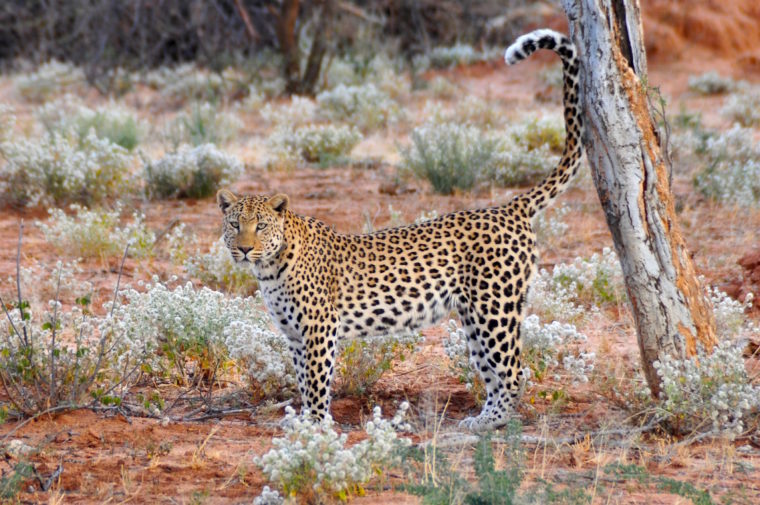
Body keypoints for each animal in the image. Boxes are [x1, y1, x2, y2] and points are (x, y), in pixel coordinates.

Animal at [217, 28, 584, 430]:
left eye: (261, 226)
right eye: (235, 224)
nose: (244, 249)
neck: (269, 268)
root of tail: (508, 207)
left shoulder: (319, 328)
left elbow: (315, 381)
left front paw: (314, 426)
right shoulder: (294, 334)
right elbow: (301, 377)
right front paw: (303, 421)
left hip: (494, 307)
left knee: (514, 369)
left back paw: (494, 421)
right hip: (474, 313)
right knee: (491, 369)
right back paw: (483, 419)